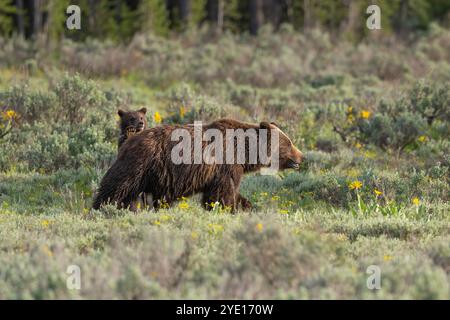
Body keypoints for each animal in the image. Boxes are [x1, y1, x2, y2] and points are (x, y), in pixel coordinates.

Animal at [92, 117, 302, 212]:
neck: (244, 151)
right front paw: (229, 209)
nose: (301, 158)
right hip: (140, 164)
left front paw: (247, 206)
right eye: (290, 142)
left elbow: (227, 193)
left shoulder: (218, 172)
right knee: (118, 187)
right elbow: (223, 194)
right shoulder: (226, 164)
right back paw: (102, 207)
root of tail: (129, 141)